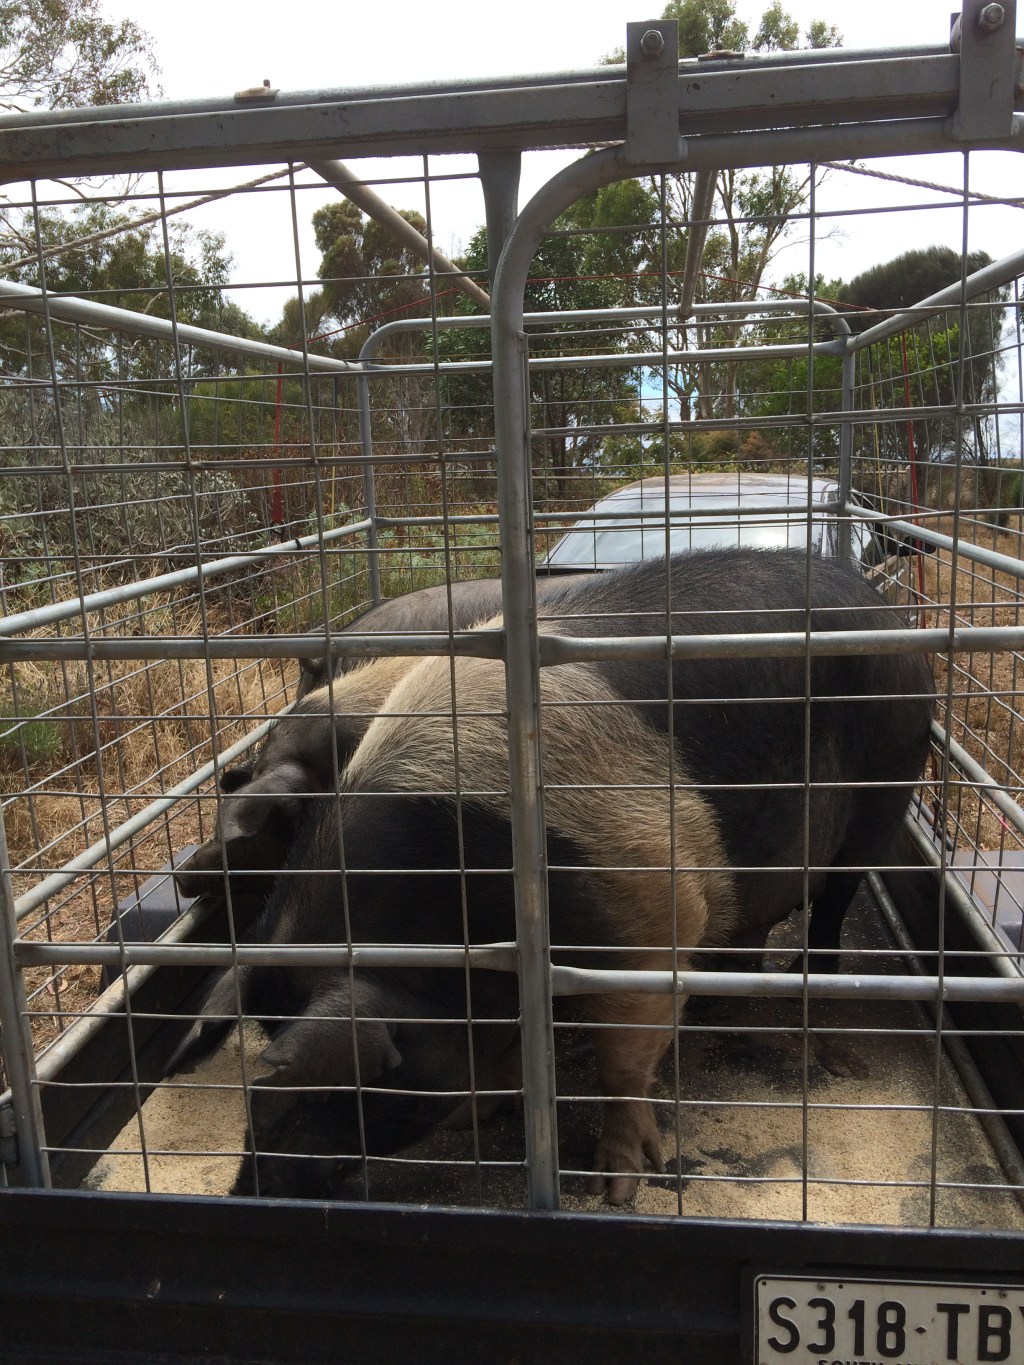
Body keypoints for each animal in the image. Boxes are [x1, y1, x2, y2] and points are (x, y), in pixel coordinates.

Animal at [172, 549, 934, 1204]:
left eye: (331, 1093)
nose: (245, 1190)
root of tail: (879, 603)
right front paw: (482, 1115)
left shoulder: (649, 909)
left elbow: (622, 1065)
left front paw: (618, 1186)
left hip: (887, 784)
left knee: (833, 903)